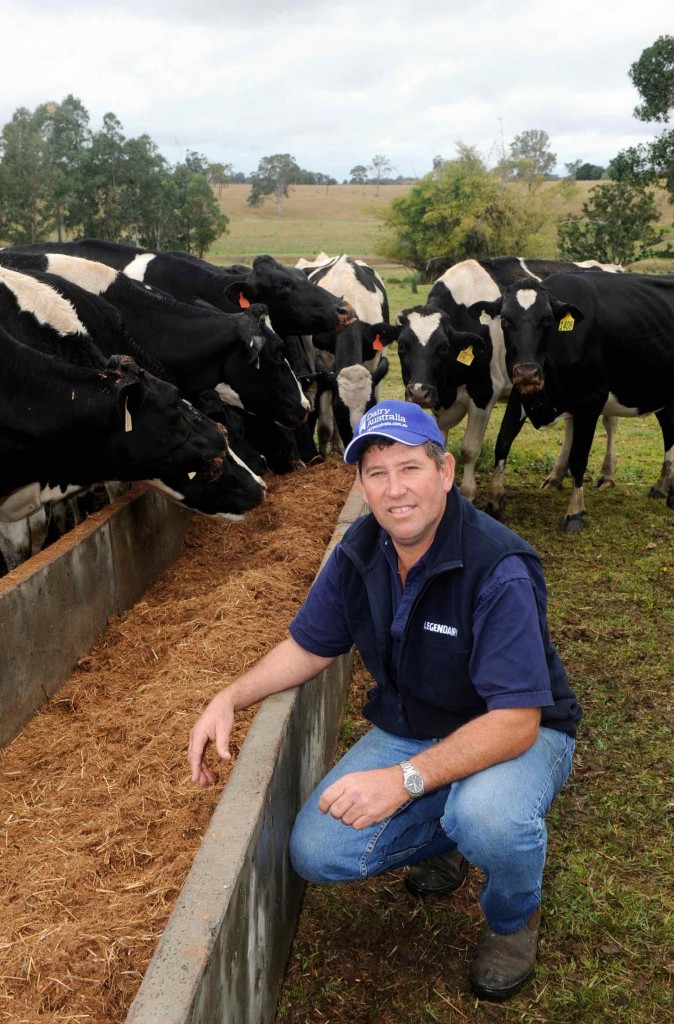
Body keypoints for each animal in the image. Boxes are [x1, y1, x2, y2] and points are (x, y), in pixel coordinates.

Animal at [469, 268, 671, 532]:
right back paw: (663, 487)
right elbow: (502, 441)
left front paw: (575, 512)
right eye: (504, 320)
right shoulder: (520, 393)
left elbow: (578, 457)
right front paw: (494, 499)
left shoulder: (591, 400)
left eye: (546, 320)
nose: (527, 371)